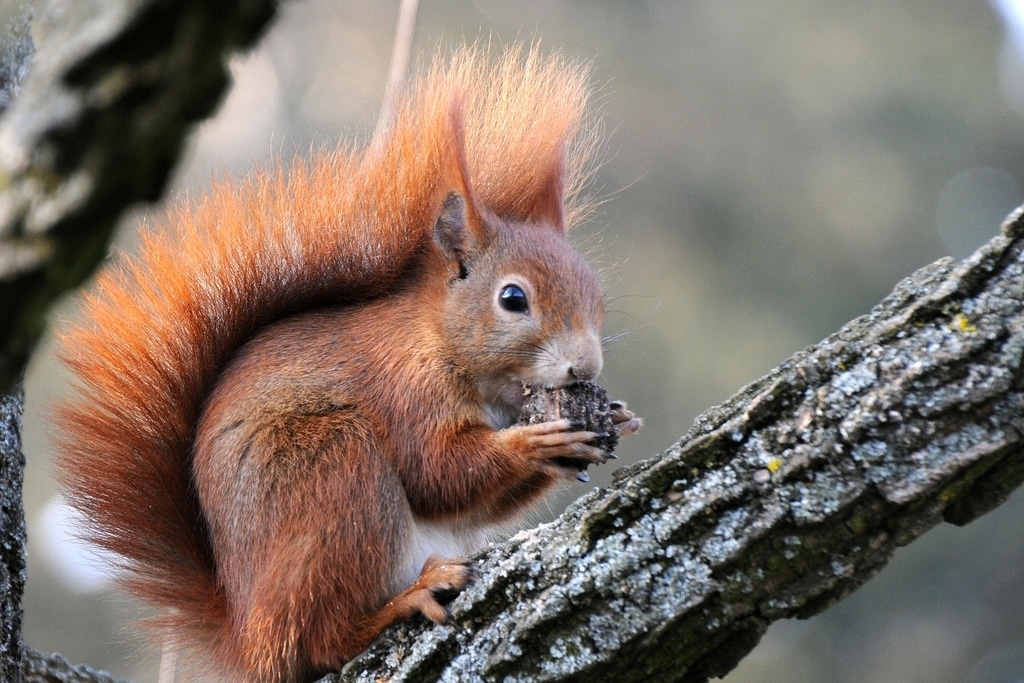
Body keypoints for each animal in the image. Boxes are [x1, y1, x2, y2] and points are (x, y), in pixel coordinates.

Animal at [55, 45, 640, 682]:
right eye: (513, 299)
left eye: (597, 296)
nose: (585, 368)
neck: (437, 343)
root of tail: (247, 635)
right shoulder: (402, 388)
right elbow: (438, 473)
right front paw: (533, 443)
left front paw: (616, 417)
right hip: (334, 471)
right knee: (322, 641)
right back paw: (404, 600)